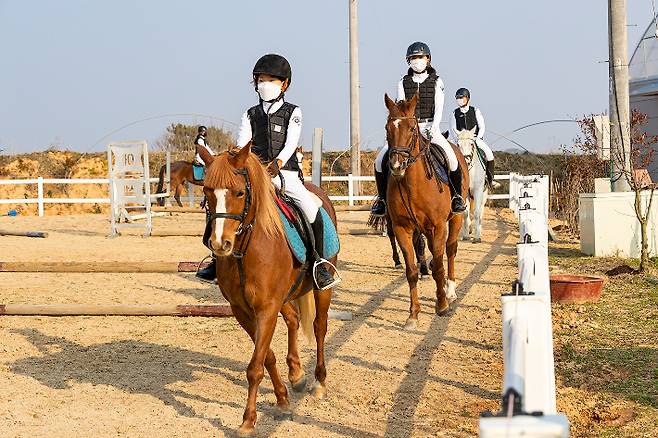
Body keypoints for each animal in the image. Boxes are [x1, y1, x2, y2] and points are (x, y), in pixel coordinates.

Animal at [201, 143, 336, 434]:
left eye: (240, 192)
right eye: (206, 192)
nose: (220, 244)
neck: (246, 249)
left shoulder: (266, 308)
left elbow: (255, 367)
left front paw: (248, 421)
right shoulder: (243, 310)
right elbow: (266, 357)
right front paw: (282, 400)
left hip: (323, 287)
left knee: (319, 327)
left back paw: (319, 382)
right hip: (284, 297)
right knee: (294, 320)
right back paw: (296, 374)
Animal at [382, 94, 468, 330]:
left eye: (412, 128)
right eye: (387, 128)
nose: (397, 166)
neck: (413, 184)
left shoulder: (437, 226)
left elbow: (439, 265)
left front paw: (442, 305)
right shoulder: (402, 228)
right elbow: (411, 270)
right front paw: (413, 315)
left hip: (455, 218)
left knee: (450, 250)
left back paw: (450, 290)